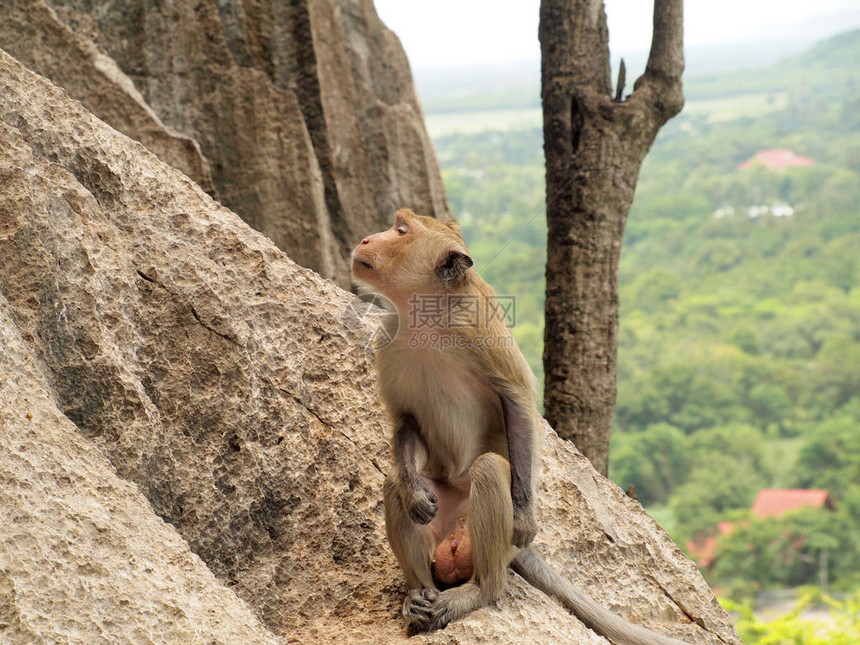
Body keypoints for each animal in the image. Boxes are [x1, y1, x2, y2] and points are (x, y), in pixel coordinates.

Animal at [348, 209, 684, 640]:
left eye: (400, 230)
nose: (367, 239)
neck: (425, 311)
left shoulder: (479, 325)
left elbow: (516, 399)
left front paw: (524, 516)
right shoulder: (388, 337)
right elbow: (405, 417)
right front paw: (413, 492)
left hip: (489, 538)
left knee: (490, 471)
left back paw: (480, 591)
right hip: (444, 514)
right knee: (394, 484)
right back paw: (418, 595)